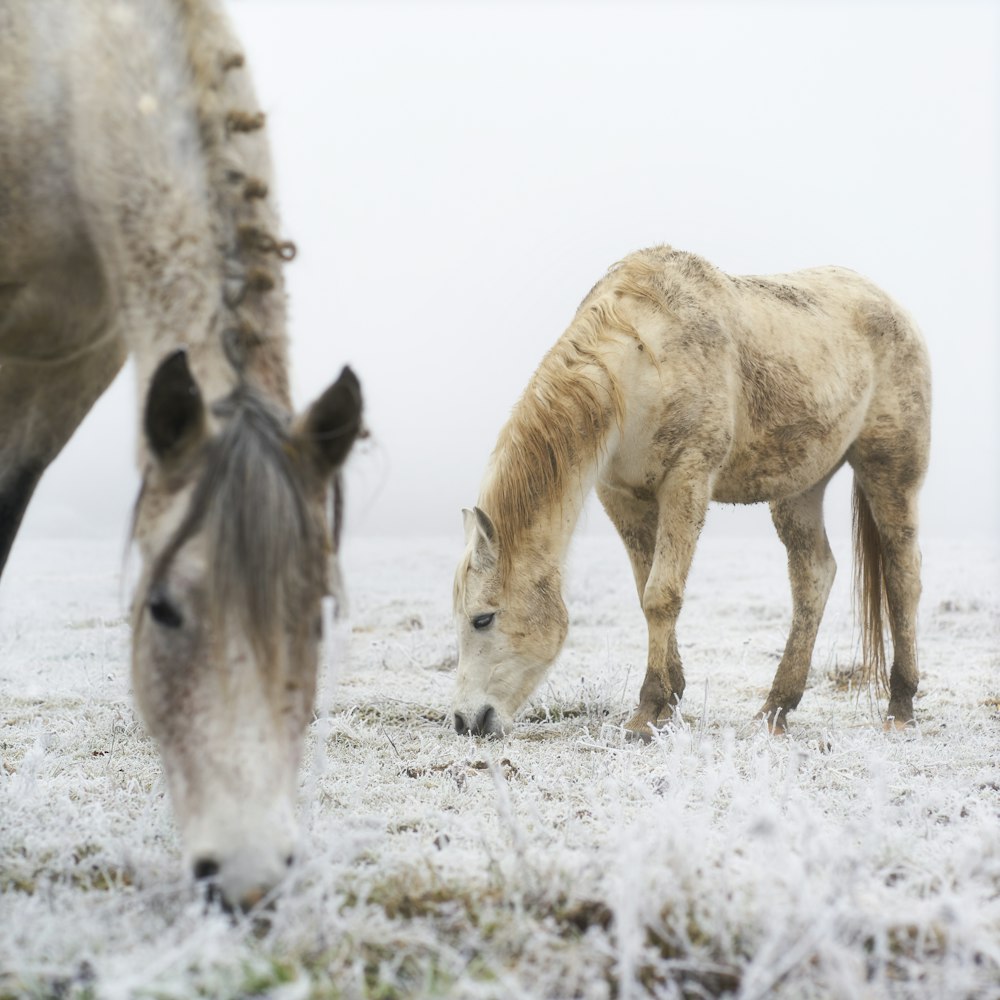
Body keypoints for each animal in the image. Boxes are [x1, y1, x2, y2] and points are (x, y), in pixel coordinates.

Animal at [454, 246, 928, 740]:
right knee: (814, 576)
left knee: (903, 575)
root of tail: (892, 308)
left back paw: (900, 706)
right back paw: (775, 709)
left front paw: (648, 712)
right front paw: (668, 701)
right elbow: (646, 590)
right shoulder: (621, 496)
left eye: (483, 618)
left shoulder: (687, 479)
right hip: (799, 488)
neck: (640, 364)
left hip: (890, 469)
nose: (466, 721)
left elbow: (662, 595)